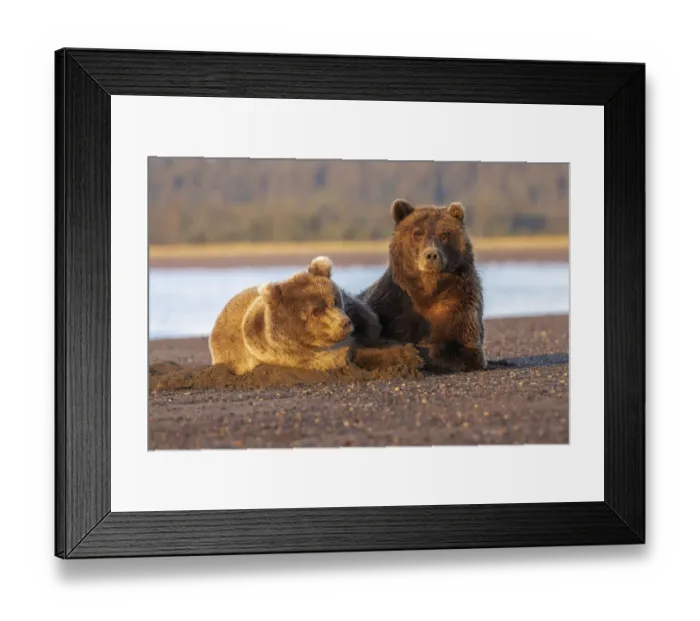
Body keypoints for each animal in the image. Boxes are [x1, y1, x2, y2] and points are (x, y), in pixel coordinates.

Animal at [209, 256, 421, 375]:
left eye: (334, 300)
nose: (344, 323)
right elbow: (352, 355)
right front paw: (409, 357)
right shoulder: (301, 356)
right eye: (315, 311)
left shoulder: (359, 317)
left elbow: (372, 331)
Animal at [359, 199, 487, 373]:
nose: (431, 255)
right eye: (417, 234)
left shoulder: (460, 306)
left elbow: (463, 348)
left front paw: (418, 353)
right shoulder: (391, 306)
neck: (427, 290)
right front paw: (404, 355)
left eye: (444, 234)